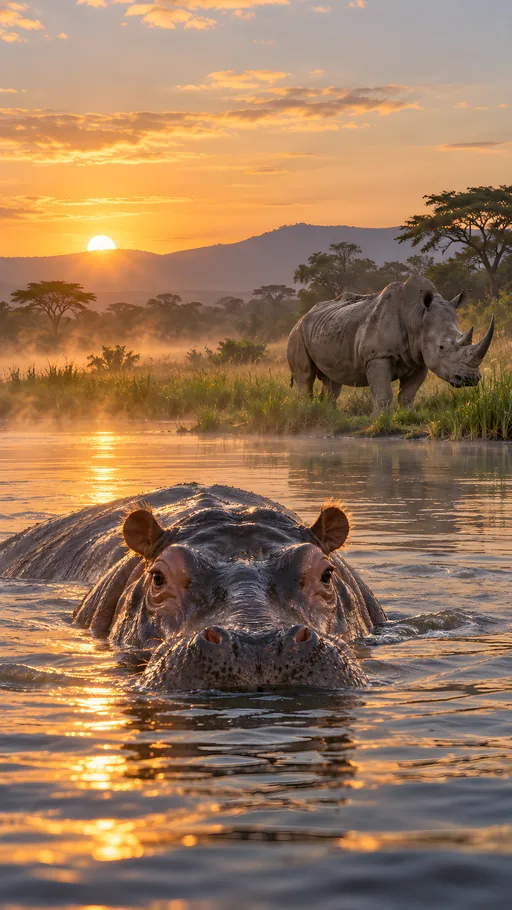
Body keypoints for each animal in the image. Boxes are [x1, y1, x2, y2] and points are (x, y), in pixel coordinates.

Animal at [288, 275, 494, 411]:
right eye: (441, 348)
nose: (470, 379)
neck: (417, 316)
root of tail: (303, 316)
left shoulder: (420, 359)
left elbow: (407, 396)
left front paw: (408, 416)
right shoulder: (377, 355)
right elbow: (383, 395)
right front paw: (380, 421)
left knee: (332, 381)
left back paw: (329, 415)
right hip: (296, 333)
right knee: (305, 378)